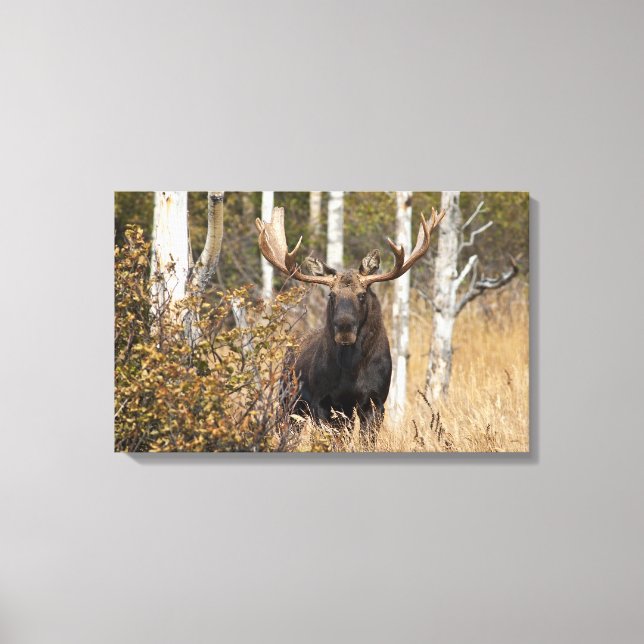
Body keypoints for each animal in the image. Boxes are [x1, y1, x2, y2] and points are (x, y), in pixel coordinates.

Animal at [256, 206, 444, 434]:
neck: (351, 371)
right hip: (288, 400)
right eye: (331, 295)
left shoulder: (375, 401)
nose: (344, 329)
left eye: (362, 295)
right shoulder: (323, 402)